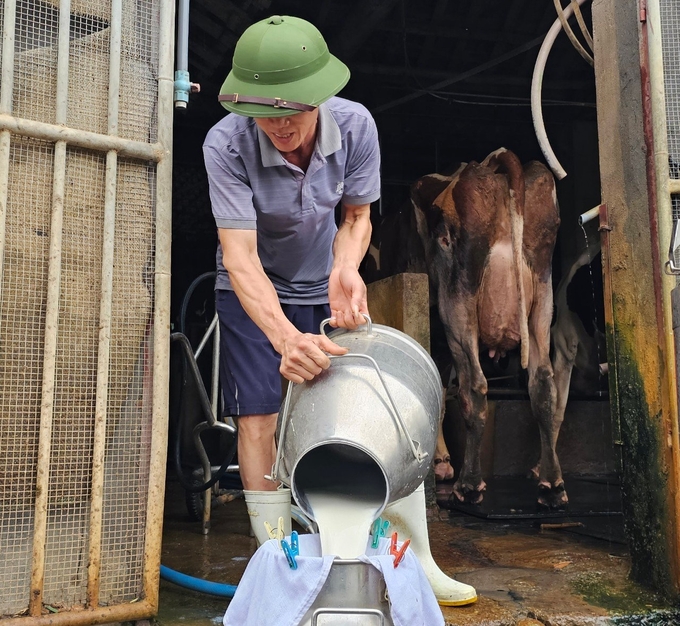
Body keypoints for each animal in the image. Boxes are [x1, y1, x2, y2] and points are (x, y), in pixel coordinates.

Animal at [410, 150, 564, 508]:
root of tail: (494, 166)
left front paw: (440, 464)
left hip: (458, 308)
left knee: (475, 388)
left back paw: (469, 485)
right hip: (541, 298)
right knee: (544, 384)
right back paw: (551, 484)